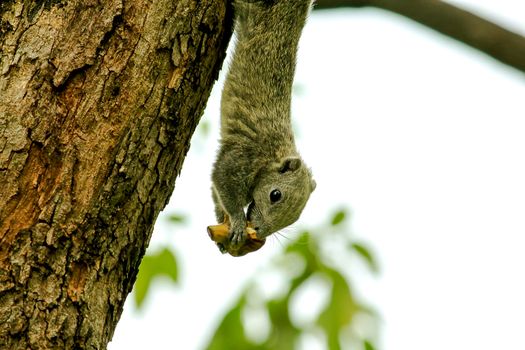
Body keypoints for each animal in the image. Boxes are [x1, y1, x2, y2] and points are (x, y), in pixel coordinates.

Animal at [210, 0, 316, 253]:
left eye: (295, 218)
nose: (259, 231)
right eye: (275, 195)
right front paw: (238, 223)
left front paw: (221, 218)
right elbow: (221, 181)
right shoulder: (242, 158)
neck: (272, 157)